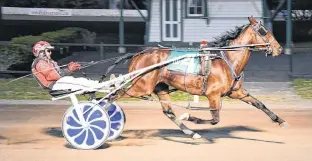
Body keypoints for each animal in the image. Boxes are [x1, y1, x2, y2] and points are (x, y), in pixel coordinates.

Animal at [108, 16, 288, 140]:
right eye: (264, 31)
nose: (279, 49)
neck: (227, 60)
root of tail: (138, 54)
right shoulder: (213, 95)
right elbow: (215, 119)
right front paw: (189, 117)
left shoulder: (237, 92)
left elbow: (259, 104)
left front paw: (280, 120)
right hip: (140, 87)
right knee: (113, 96)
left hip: (160, 87)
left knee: (168, 112)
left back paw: (191, 133)